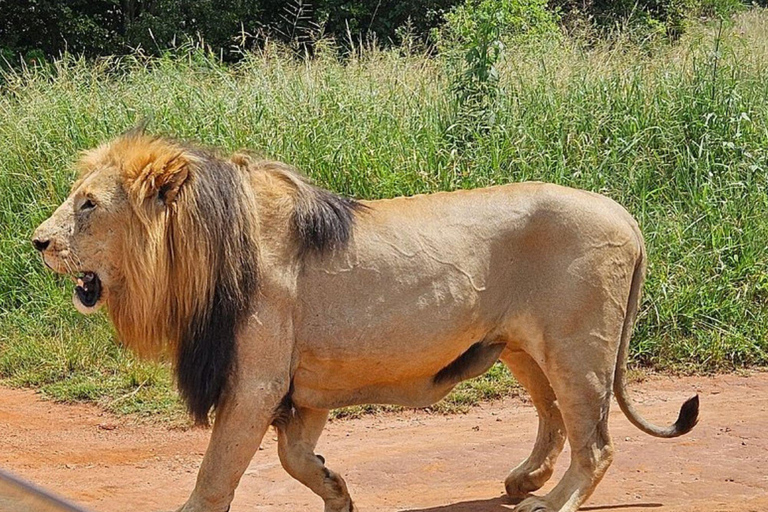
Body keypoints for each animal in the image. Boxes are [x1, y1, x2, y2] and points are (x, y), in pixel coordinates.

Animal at [32, 128, 698, 512]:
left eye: (87, 205)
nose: (37, 242)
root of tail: (624, 213)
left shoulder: (255, 383)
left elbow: (216, 476)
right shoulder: (304, 387)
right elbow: (293, 459)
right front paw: (338, 492)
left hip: (577, 348)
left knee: (596, 443)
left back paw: (550, 502)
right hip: (520, 348)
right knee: (554, 419)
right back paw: (523, 483)